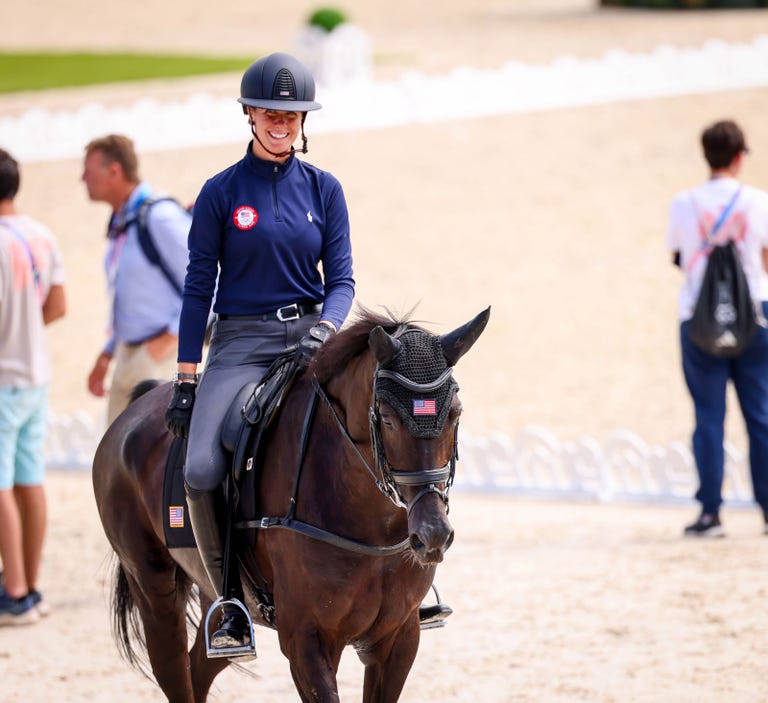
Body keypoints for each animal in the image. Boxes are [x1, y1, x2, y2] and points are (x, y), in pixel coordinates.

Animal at [90, 308, 486, 703]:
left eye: (455, 413)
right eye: (387, 418)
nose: (433, 535)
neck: (370, 522)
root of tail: (131, 415)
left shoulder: (399, 637)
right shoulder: (307, 642)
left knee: (198, 669)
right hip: (153, 585)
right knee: (173, 668)